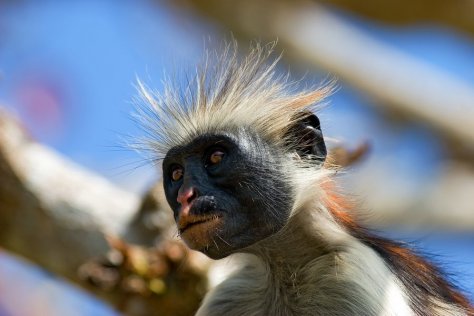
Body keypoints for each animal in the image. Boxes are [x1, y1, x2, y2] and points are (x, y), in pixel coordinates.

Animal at [135, 43, 472, 314]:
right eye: (176, 174)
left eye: (215, 157)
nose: (185, 197)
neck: (284, 269)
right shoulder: (231, 294)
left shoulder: (357, 277)